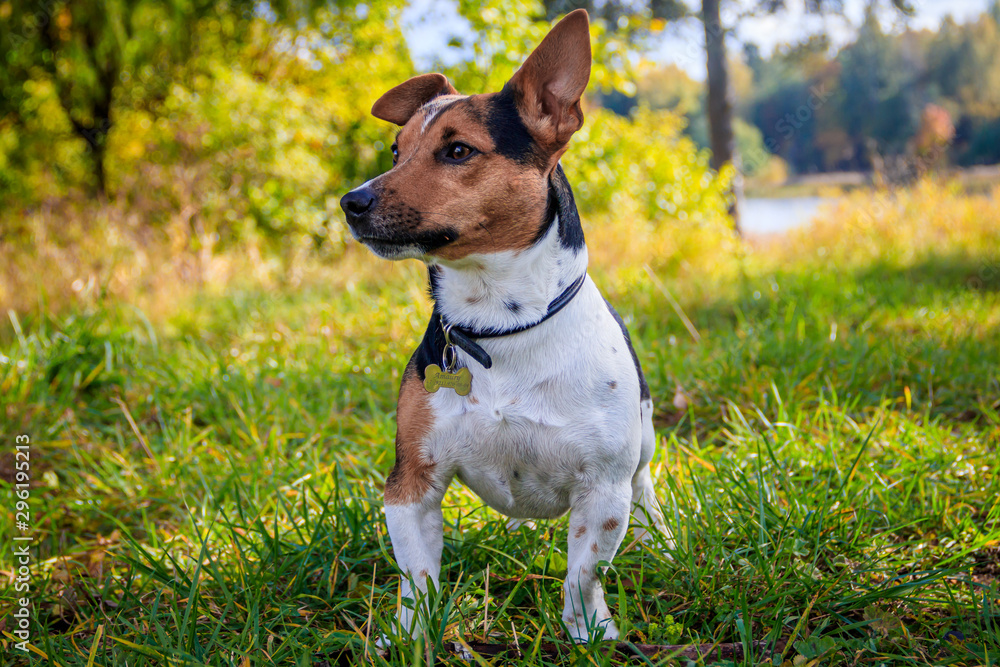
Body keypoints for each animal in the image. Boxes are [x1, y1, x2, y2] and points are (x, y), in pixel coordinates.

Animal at [340, 10, 668, 644]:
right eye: (396, 150)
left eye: (458, 150)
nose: (351, 202)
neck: (499, 325)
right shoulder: (411, 483)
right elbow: (417, 577)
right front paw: (411, 638)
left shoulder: (602, 490)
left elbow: (582, 574)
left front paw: (589, 634)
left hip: (639, 451)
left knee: (644, 491)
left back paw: (661, 542)